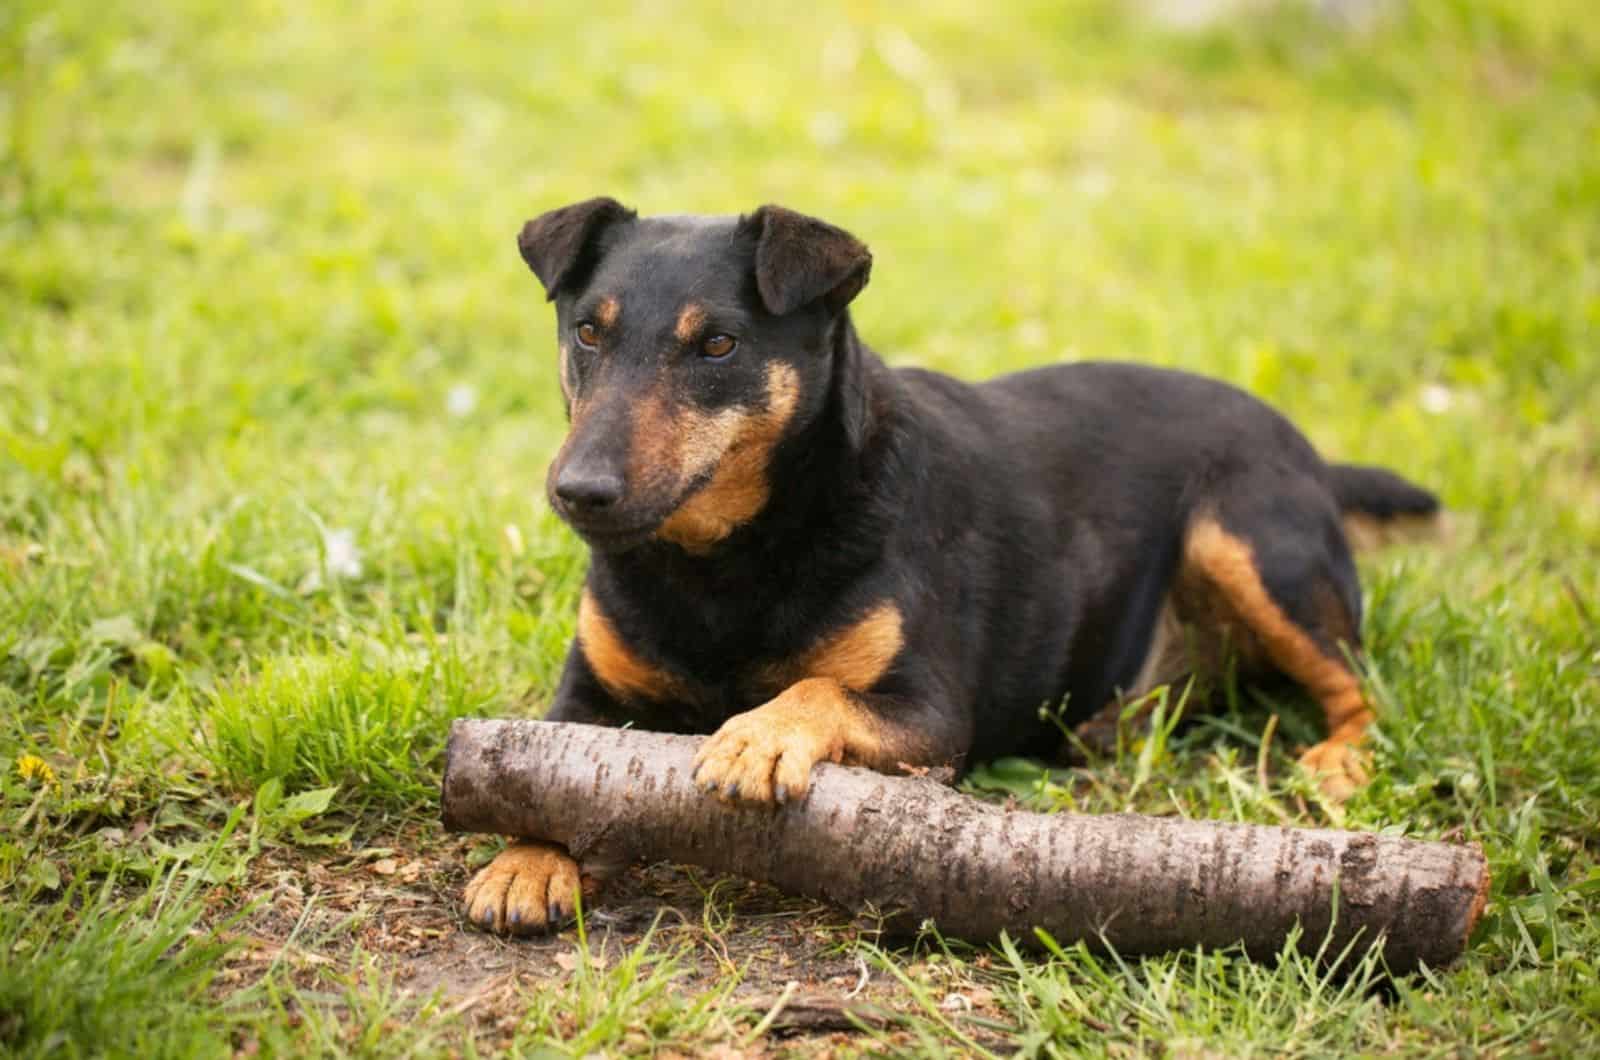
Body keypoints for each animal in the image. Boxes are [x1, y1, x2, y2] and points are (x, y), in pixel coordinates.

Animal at [460, 199, 1440, 941]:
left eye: (719, 347)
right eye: (588, 332)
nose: (579, 491)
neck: (722, 560)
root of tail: (1310, 452)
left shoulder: (930, 714)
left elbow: (819, 690)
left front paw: (756, 736)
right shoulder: (586, 696)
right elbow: (536, 773)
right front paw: (524, 865)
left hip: (1248, 537)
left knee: (1359, 684)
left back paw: (1336, 762)